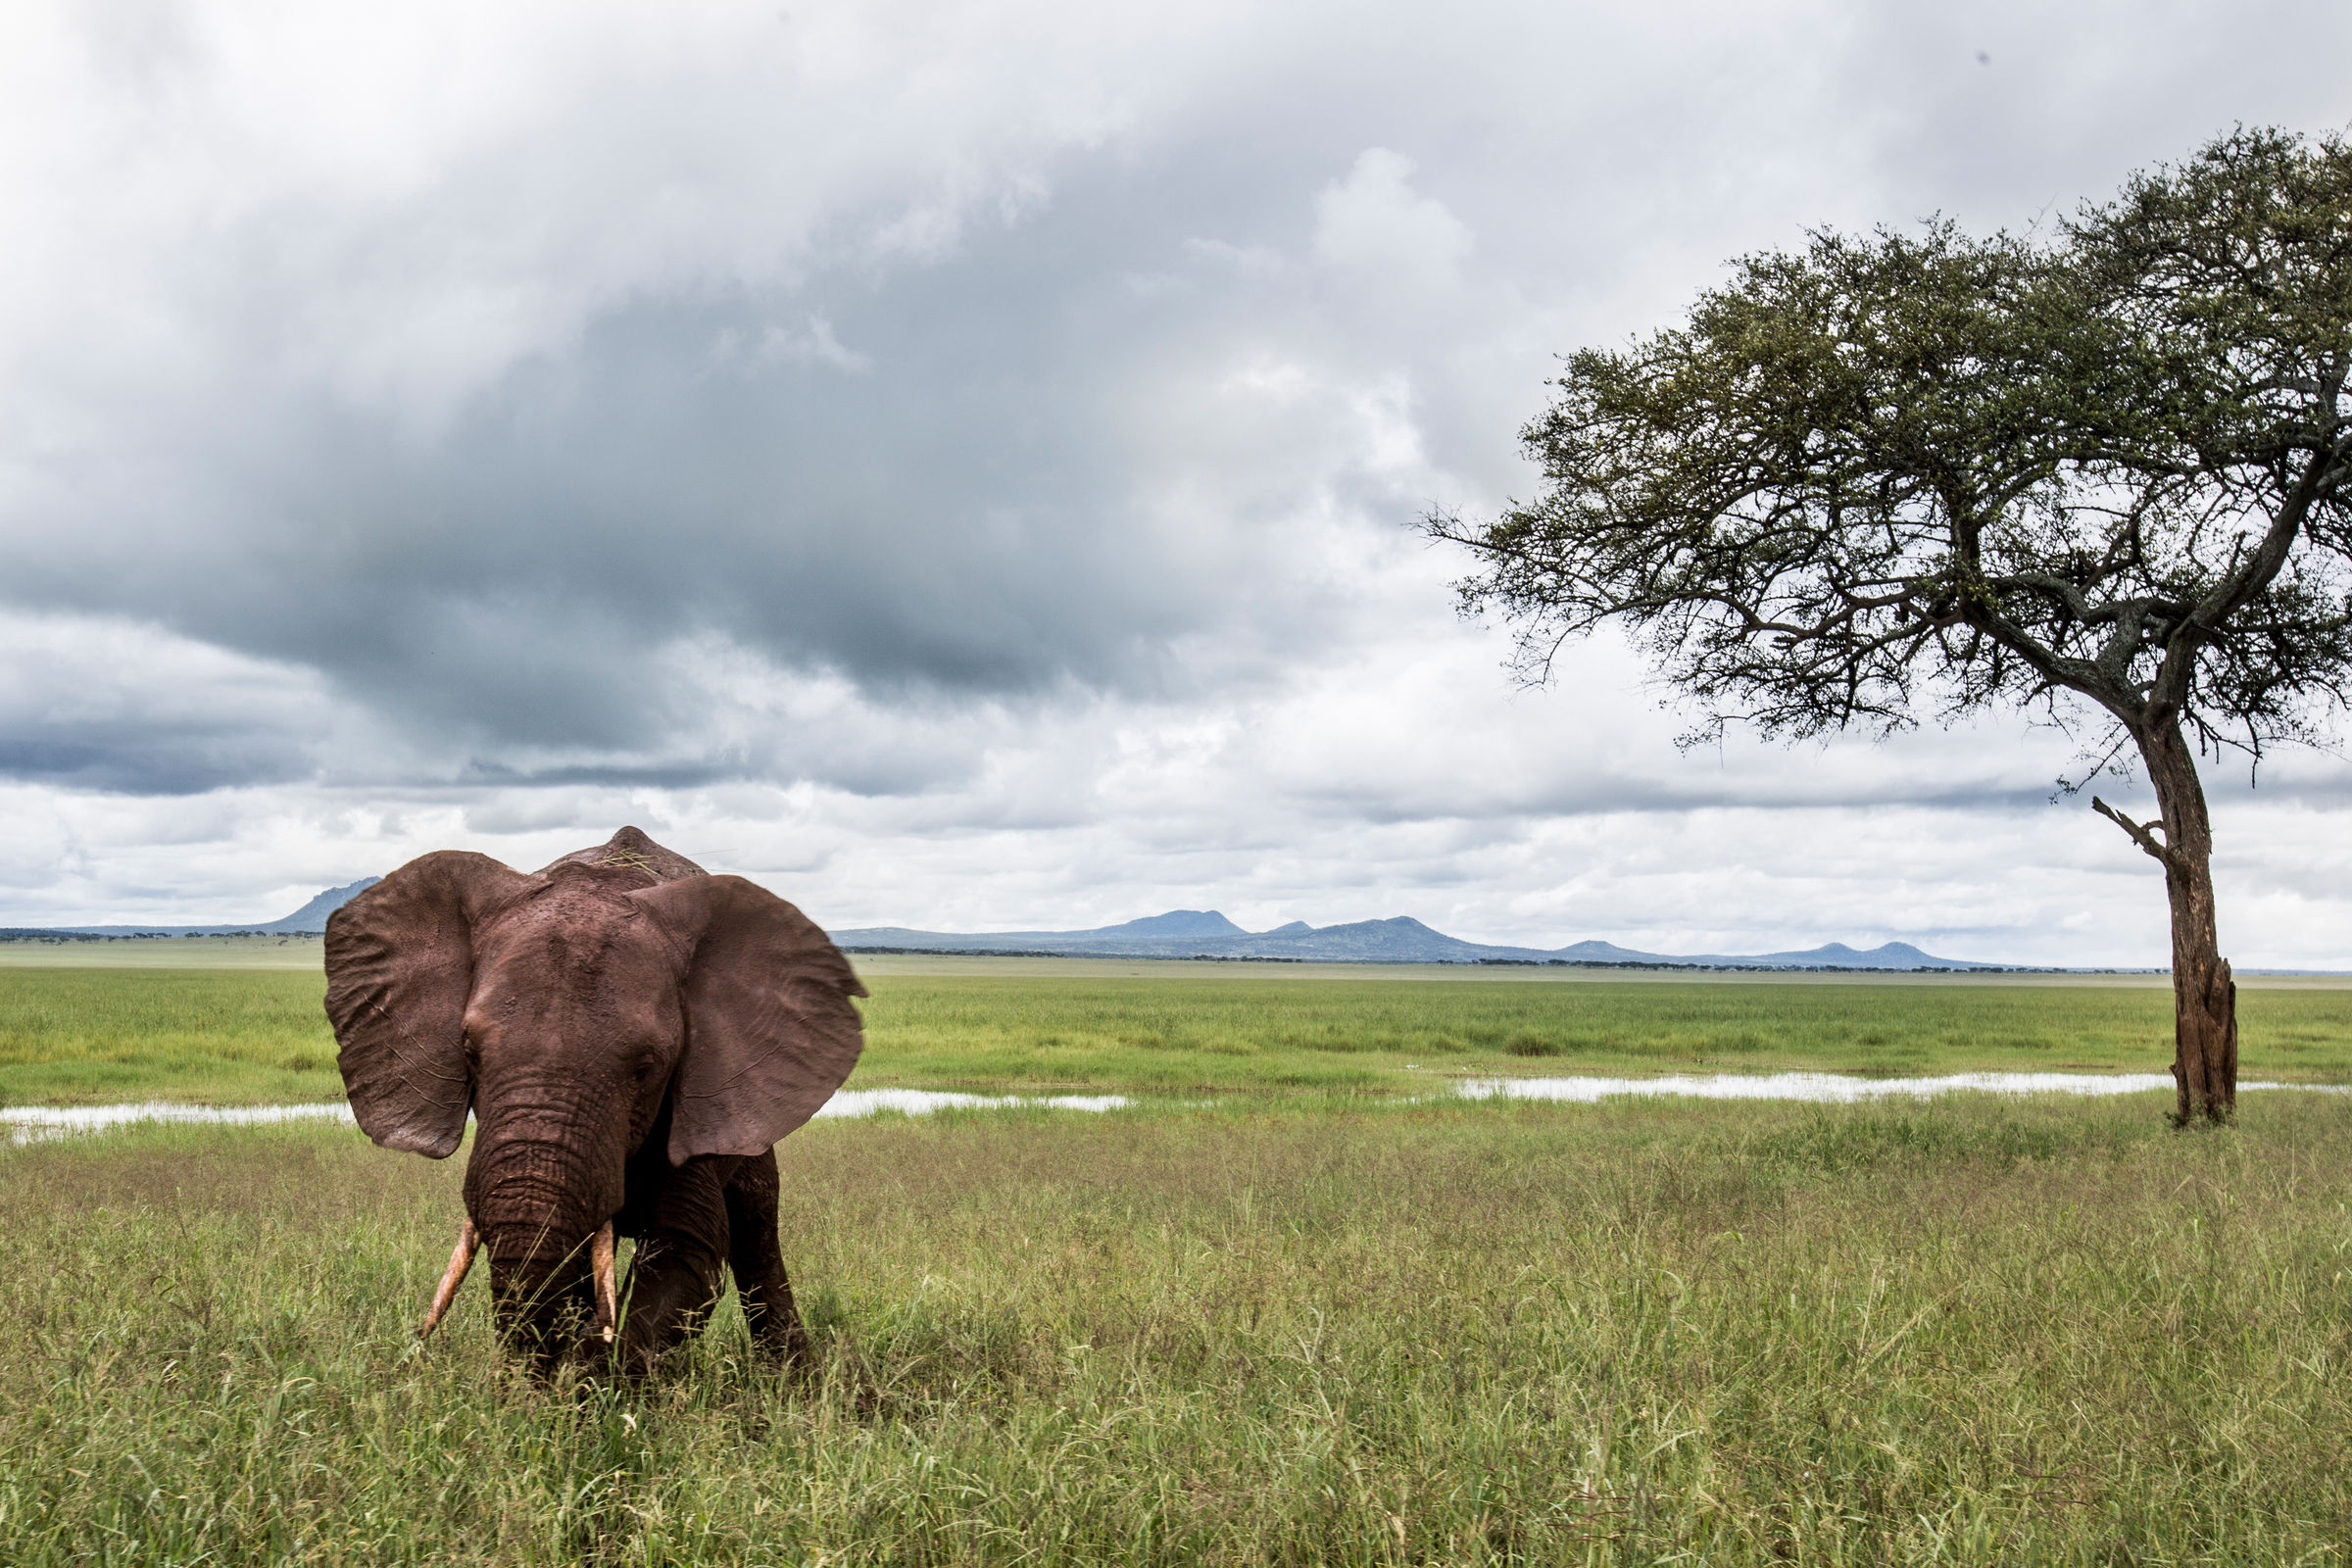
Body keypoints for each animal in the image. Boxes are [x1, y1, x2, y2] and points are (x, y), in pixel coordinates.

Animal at [323, 825, 867, 1377]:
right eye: (470, 1052)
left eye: (648, 1066)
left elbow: (688, 1246)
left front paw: (591, 1370)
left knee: (757, 1225)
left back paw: (787, 1378)